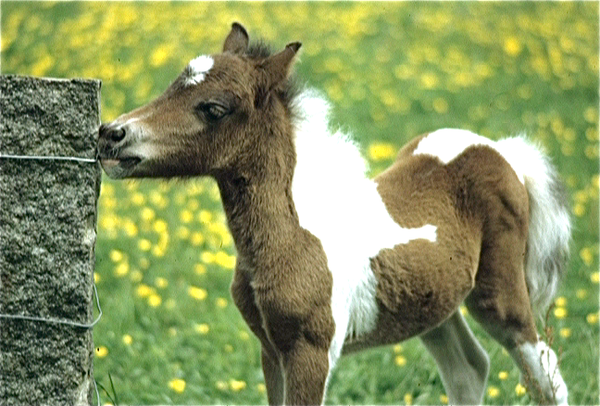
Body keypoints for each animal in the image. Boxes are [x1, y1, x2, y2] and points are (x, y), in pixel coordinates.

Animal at [99, 23, 572, 404]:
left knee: (546, 375)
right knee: (468, 369)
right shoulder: (271, 348)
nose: (112, 134)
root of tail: (501, 151)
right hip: (434, 305)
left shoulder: (311, 349)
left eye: (214, 108)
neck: (294, 233)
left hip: (500, 296)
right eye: (172, 85)